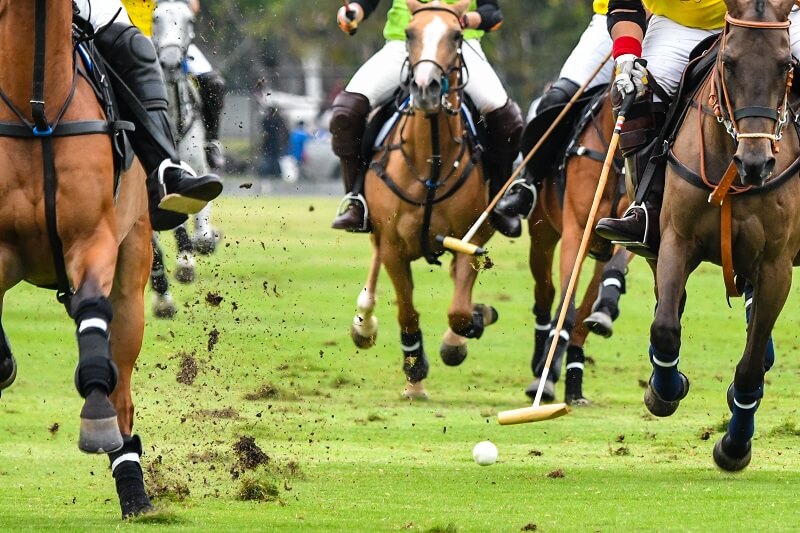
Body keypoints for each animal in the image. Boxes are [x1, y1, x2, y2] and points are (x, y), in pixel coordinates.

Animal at [0, 0, 154, 516]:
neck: (36, 112)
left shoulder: (93, 238)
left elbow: (91, 311)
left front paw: (96, 418)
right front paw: (4, 363)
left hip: (133, 266)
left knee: (123, 389)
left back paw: (133, 487)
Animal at [348, 0, 496, 400]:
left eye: (457, 35)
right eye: (411, 33)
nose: (426, 88)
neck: (432, 160)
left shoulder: (470, 238)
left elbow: (460, 311)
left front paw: (470, 327)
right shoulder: (394, 246)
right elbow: (407, 312)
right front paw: (414, 376)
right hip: (376, 229)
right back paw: (363, 323)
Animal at [528, 93, 636, 406]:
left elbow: (614, 270)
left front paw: (606, 309)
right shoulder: (575, 230)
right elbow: (567, 305)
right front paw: (545, 377)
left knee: (584, 316)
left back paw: (574, 385)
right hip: (541, 236)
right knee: (546, 294)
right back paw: (541, 363)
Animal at [644, 0, 800, 470]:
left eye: (786, 64)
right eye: (728, 63)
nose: (756, 163)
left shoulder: (777, 267)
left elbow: (748, 368)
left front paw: (734, 446)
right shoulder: (675, 240)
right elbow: (665, 326)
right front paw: (666, 390)